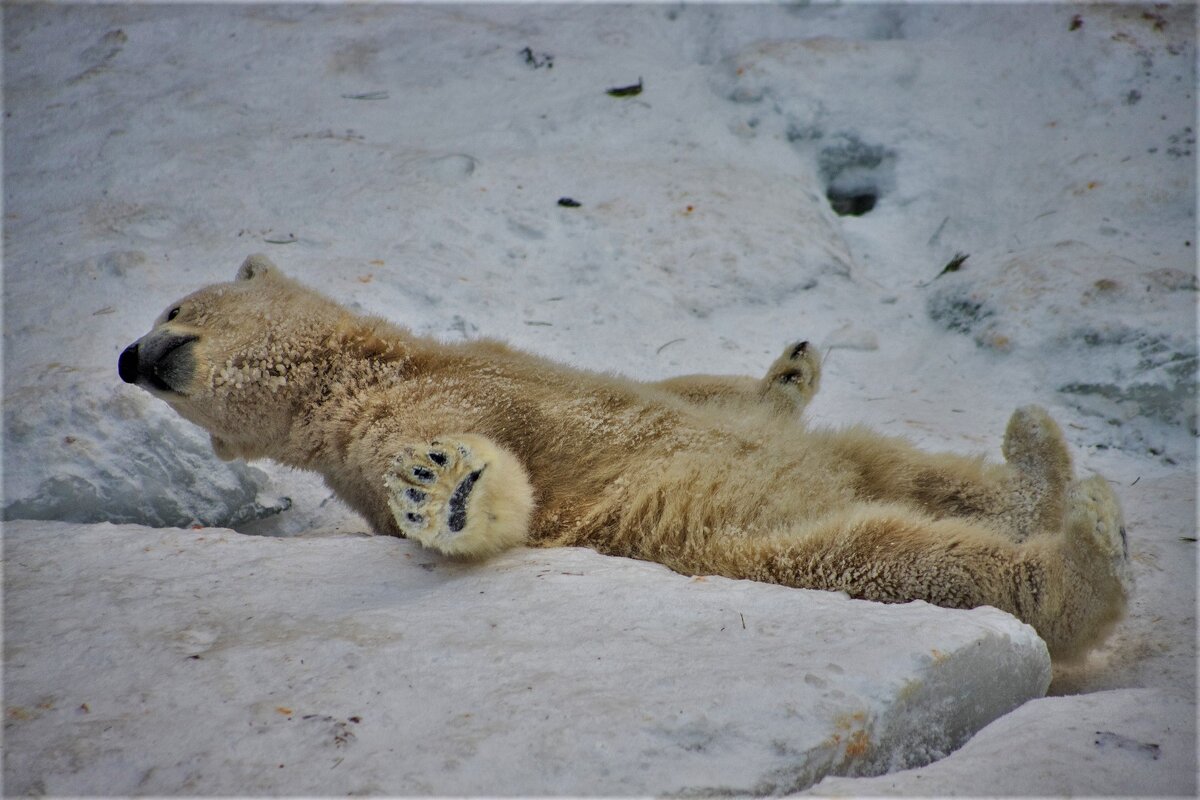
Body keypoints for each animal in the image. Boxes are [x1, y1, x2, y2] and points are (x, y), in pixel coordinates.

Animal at [121, 256, 1132, 662]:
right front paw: (442, 486)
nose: (131, 357)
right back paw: (1085, 556)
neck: (374, 368)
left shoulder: (493, 368)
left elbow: (689, 391)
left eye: (172, 305)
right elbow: (502, 494)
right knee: (903, 556)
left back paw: (1037, 455)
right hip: (749, 544)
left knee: (915, 471)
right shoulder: (386, 427)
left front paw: (790, 368)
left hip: (843, 467)